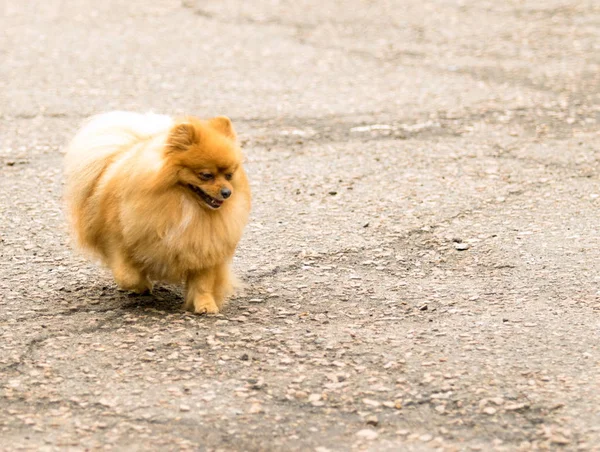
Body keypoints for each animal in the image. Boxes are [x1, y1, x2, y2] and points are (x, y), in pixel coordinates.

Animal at [64, 111, 252, 312]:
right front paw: (142, 286)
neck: (187, 206)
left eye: (229, 175)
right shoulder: (120, 242)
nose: (227, 192)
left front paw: (205, 305)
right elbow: (127, 276)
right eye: (206, 175)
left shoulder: (205, 247)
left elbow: (203, 282)